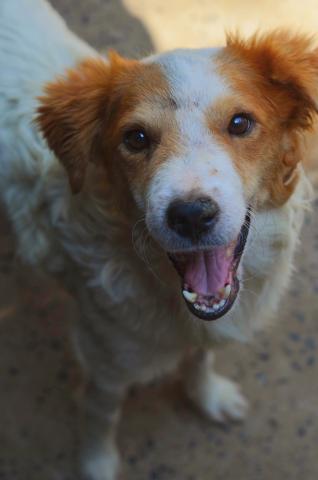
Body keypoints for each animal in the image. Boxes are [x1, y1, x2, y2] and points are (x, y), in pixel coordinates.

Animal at [0, 0, 316, 480]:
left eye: (240, 123)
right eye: (136, 138)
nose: (191, 215)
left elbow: (202, 355)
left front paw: (207, 396)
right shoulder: (105, 358)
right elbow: (101, 415)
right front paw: (97, 463)